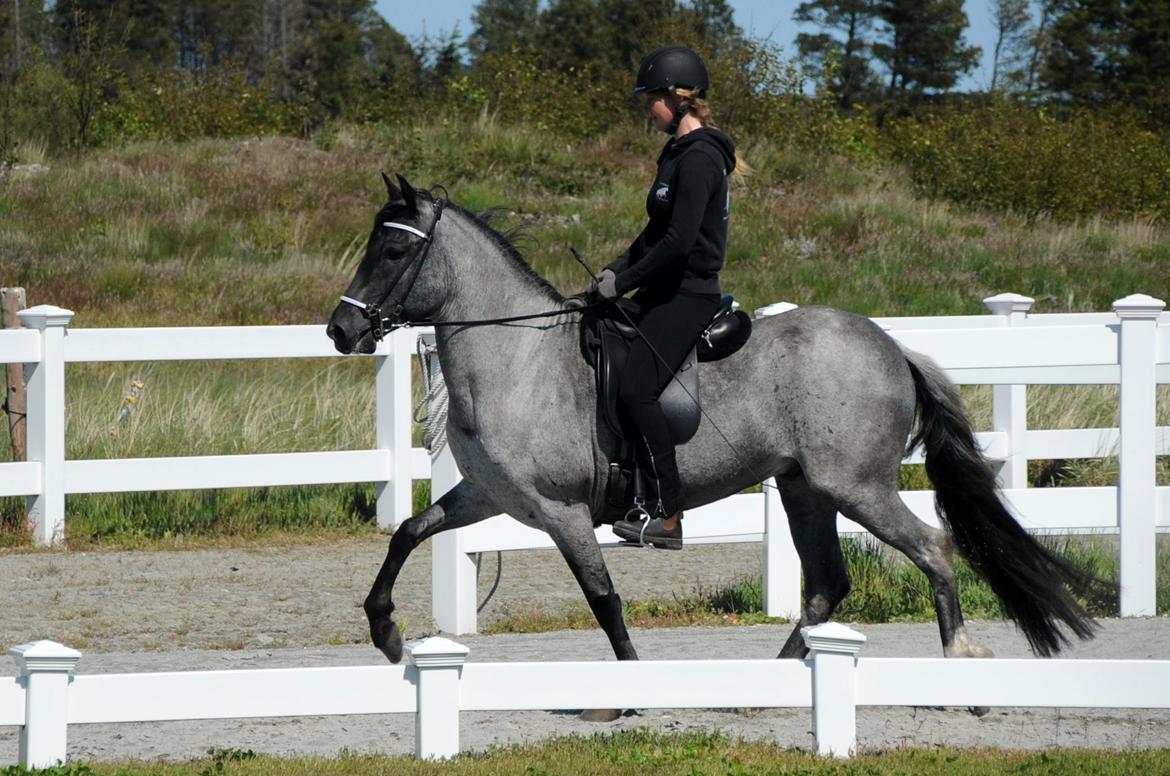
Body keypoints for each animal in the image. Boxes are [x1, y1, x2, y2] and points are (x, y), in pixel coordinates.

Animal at [325, 172, 1099, 688]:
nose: (341, 330)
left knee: (933, 549)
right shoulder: (488, 498)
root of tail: (893, 347)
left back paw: (958, 658)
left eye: (393, 253)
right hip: (805, 490)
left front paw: (630, 687)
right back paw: (772, 688)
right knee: (826, 584)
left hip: (857, 487)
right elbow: (407, 532)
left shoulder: (561, 511)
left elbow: (603, 599)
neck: (517, 357)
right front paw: (386, 632)